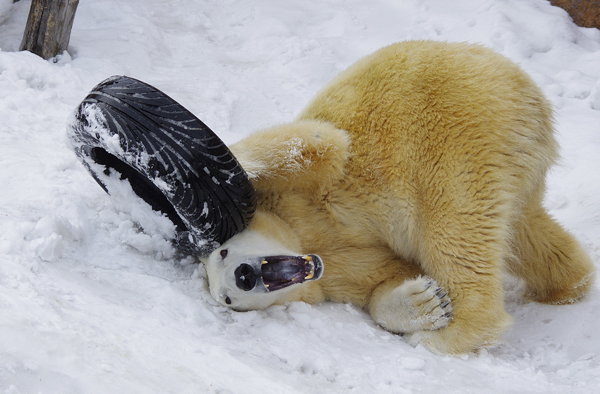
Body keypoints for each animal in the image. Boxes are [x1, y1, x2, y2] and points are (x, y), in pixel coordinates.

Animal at [203, 41, 596, 356]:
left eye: (223, 251)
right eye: (227, 299)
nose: (244, 275)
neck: (301, 239)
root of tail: (529, 100)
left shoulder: (293, 191)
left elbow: (319, 143)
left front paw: (221, 168)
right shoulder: (338, 271)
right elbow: (386, 278)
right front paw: (427, 302)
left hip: (457, 139)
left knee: (453, 229)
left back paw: (446, 337)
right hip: (515, 164)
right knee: (525, 231)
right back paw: (568, 284)